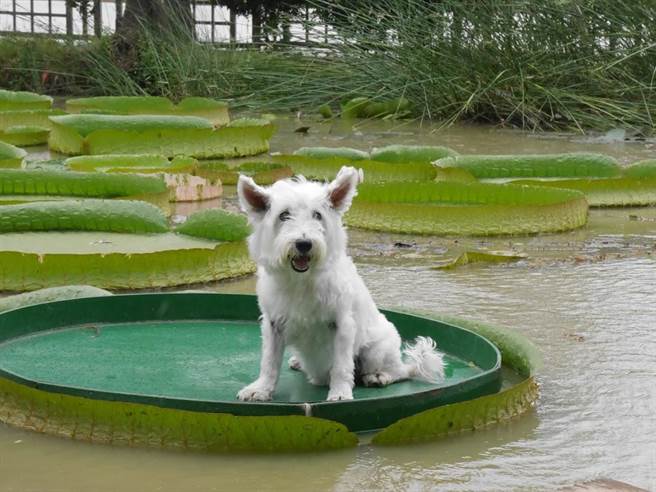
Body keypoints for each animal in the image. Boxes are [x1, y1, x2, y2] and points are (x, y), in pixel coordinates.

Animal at [233, 167, 444, 402]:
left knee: (401, 372)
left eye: (317, 215)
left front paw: (340, 393)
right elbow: (269, 363)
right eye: (284, 215)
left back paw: (380, 376)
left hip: (376, 351)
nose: (304, 244)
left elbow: (341, 366)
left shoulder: (342, 324)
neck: (302, 281)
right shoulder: (274, 324)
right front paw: (261, 389)